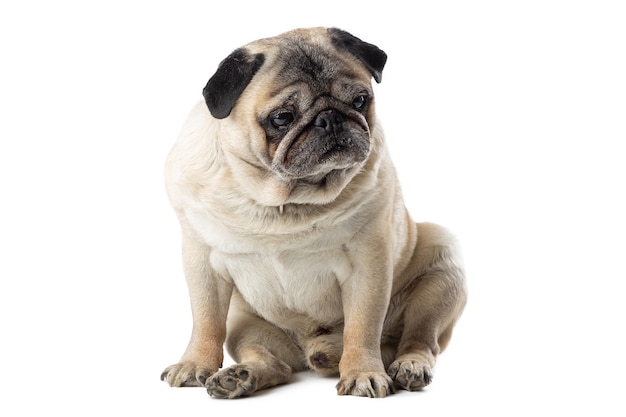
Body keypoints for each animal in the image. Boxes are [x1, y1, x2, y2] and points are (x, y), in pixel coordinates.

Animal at [160, 27, 464, 398]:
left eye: (360, 100)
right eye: (282, 117)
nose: (330, 118)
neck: (283, 199)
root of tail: (310, 350)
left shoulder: (368, 264)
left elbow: (362, 327)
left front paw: (363, 373)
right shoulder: (202, 262)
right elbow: (205, 322)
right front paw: (194, 364)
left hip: (443, 269)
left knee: (420, 340)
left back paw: (409, 366)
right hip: (242, 321)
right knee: (275, 365)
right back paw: (240, 377)